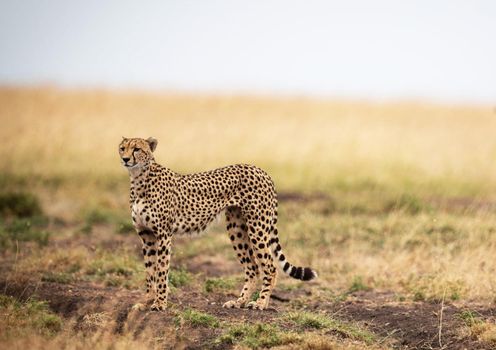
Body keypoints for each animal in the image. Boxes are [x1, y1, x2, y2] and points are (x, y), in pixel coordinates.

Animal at [118, 137, 316, 312]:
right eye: (122, 148)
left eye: (137, 149)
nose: (125, 159)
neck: (139, 179)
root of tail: (260, 170)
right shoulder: (146, 236)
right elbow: (150, 272)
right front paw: (146, 302)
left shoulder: (163, 235)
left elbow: (160, 272)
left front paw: (159, 304)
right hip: (237, 229)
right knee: (252, 268)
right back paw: (239, 302)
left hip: (257, 228)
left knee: (270, 267)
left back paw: (261, 303)